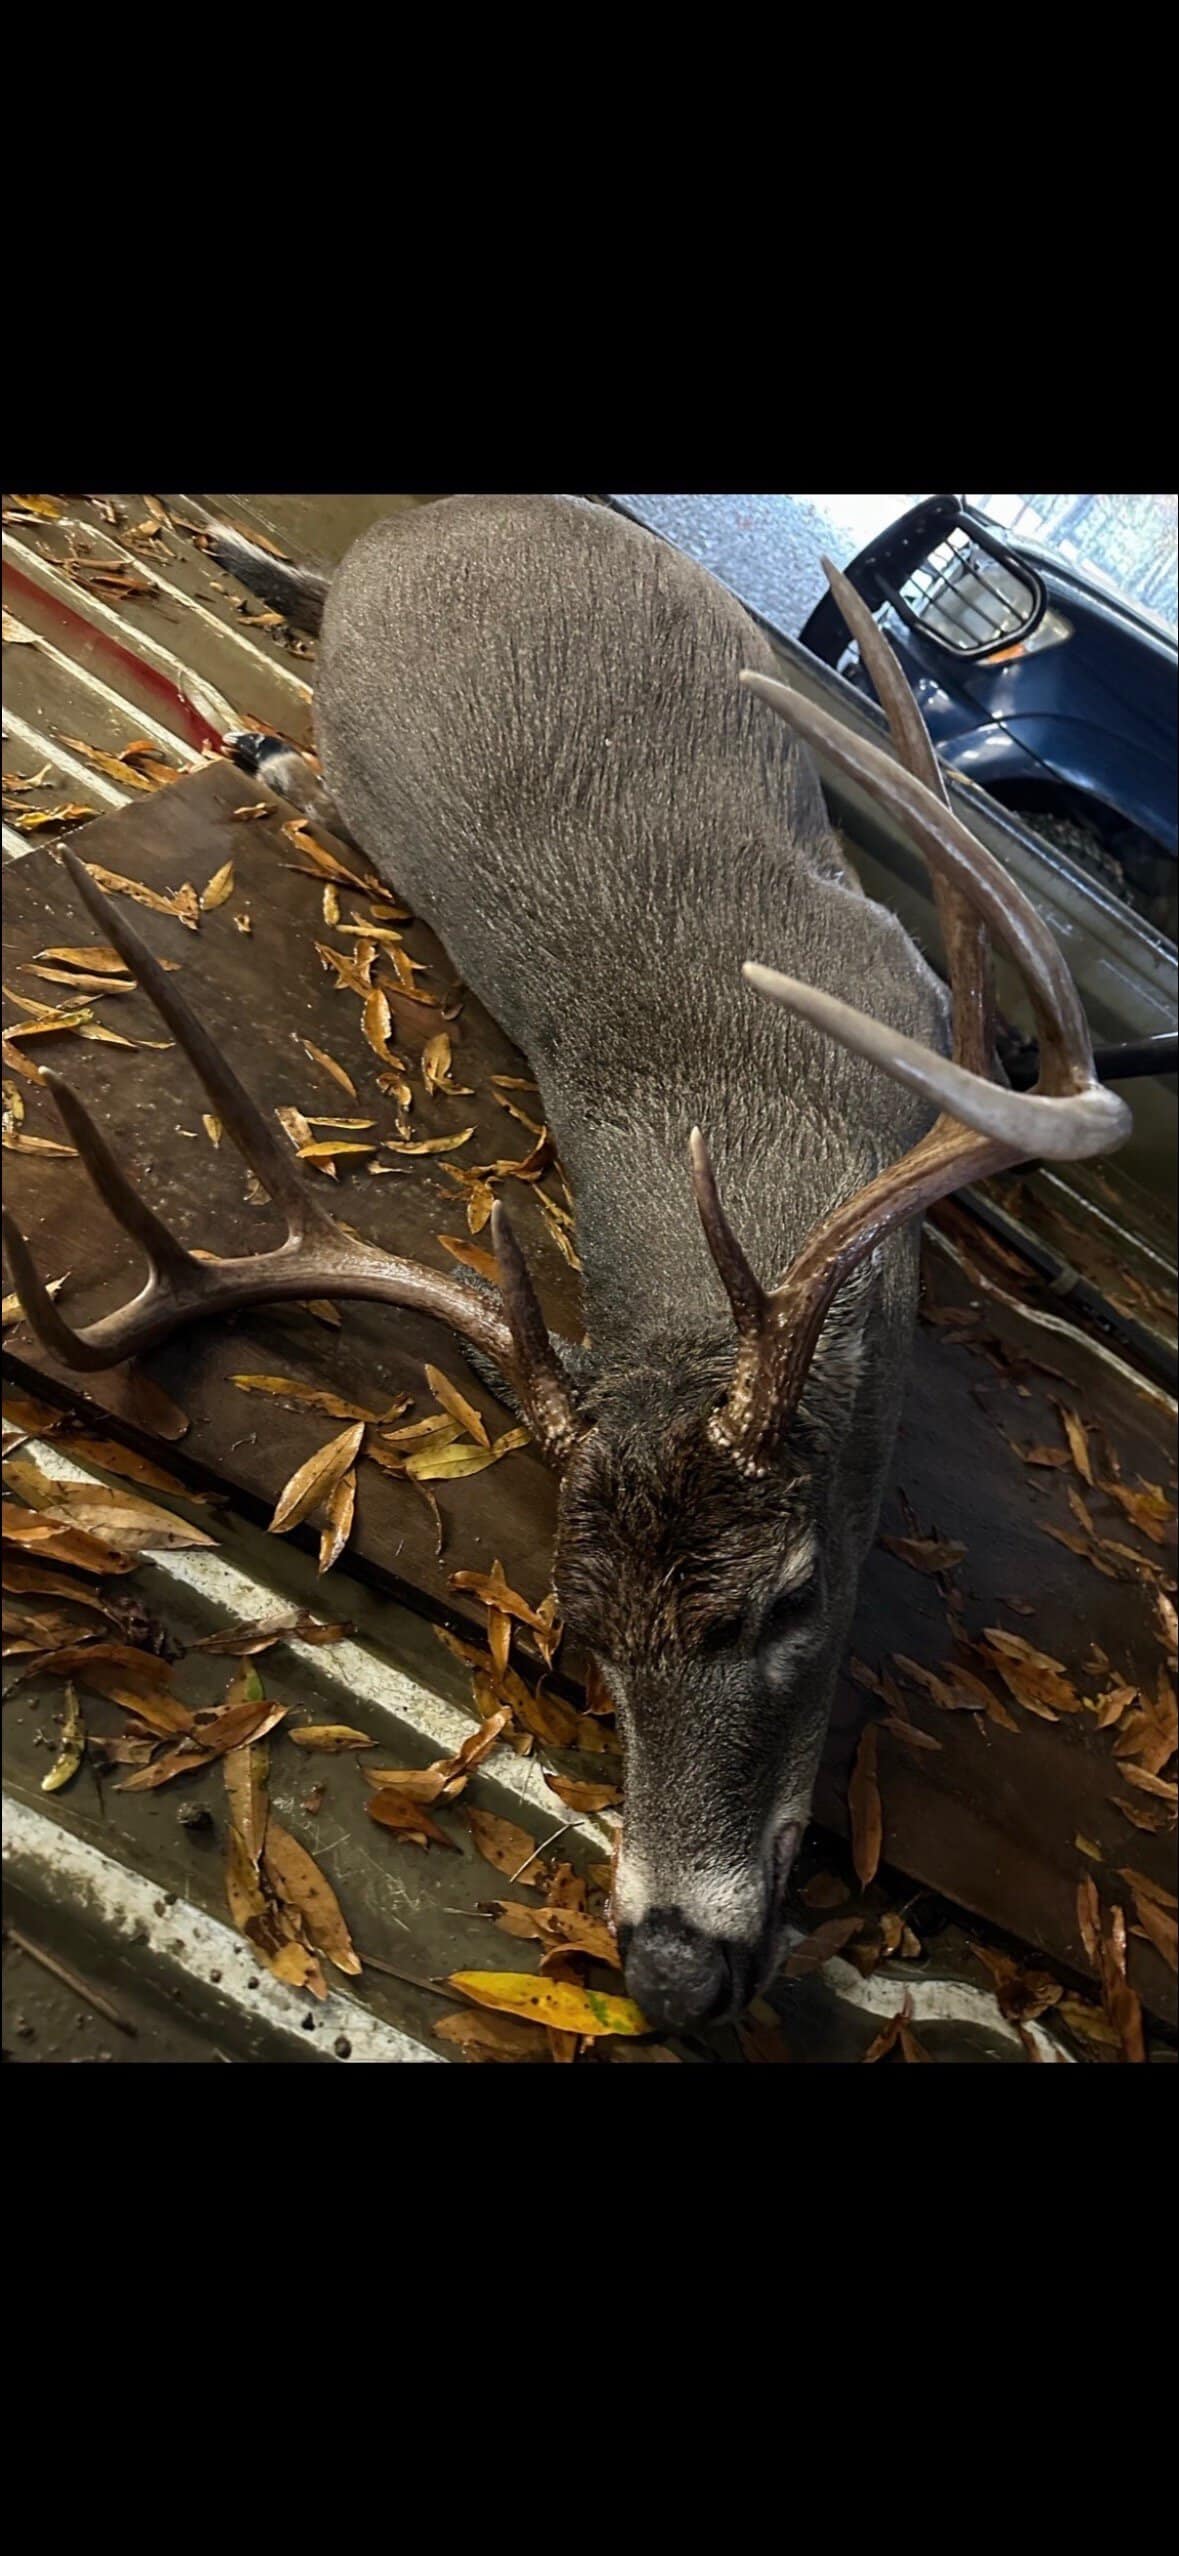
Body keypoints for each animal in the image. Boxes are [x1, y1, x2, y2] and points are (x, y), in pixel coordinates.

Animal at [3, 495, 1131, 2034]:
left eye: (787, 1597)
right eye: (582, 1631)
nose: (667, 1970)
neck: (752, 1100)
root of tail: (425, 537)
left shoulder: (906, 988)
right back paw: (262, 704)